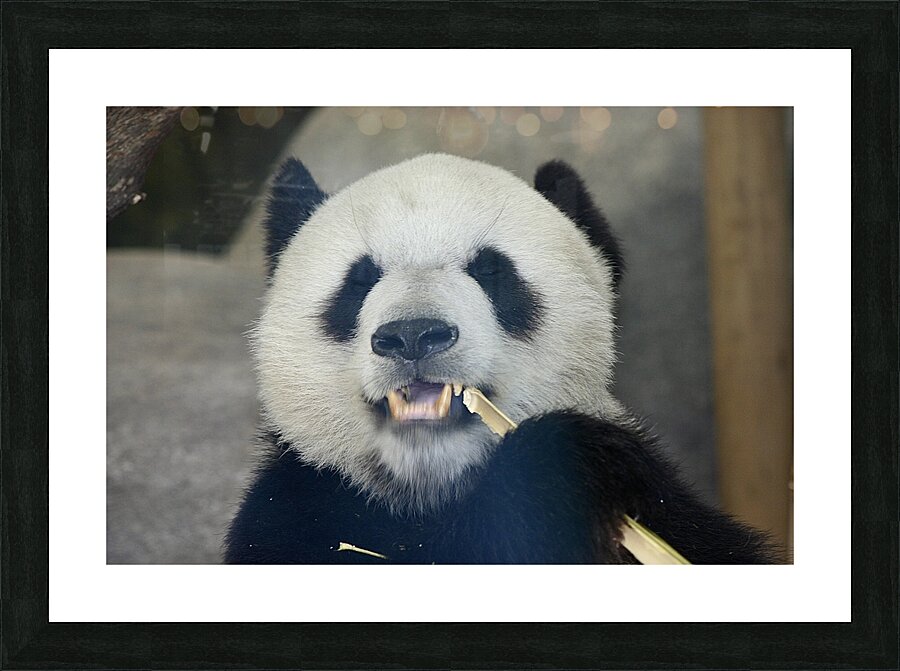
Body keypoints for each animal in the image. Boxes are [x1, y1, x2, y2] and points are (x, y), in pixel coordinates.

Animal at [224, 153, 784, 564]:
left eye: (491, 270)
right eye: (359, 280)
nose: (413, 336)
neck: (434, 494)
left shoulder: (672, 515)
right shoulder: (297, 512)